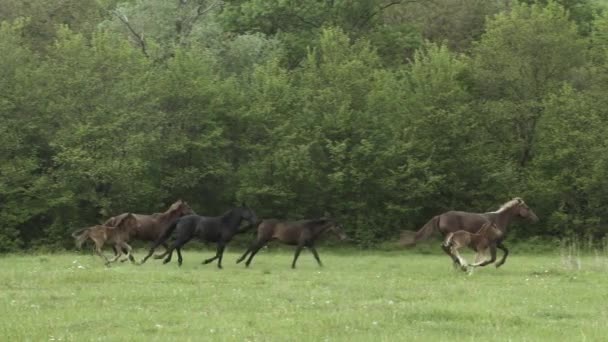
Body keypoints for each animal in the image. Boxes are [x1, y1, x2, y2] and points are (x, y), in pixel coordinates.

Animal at [402, 198, 540, 268]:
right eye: (527, 208)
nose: (536, 219)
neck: (498, 220)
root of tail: (440, 216)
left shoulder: (498, 243)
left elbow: (506, 251)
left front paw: (498, 264)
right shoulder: (493, 243)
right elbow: (492, 258)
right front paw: (483, 264)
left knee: (447, 248)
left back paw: (457, 264)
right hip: (451, 236)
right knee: (448, 248)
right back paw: (459, 264)